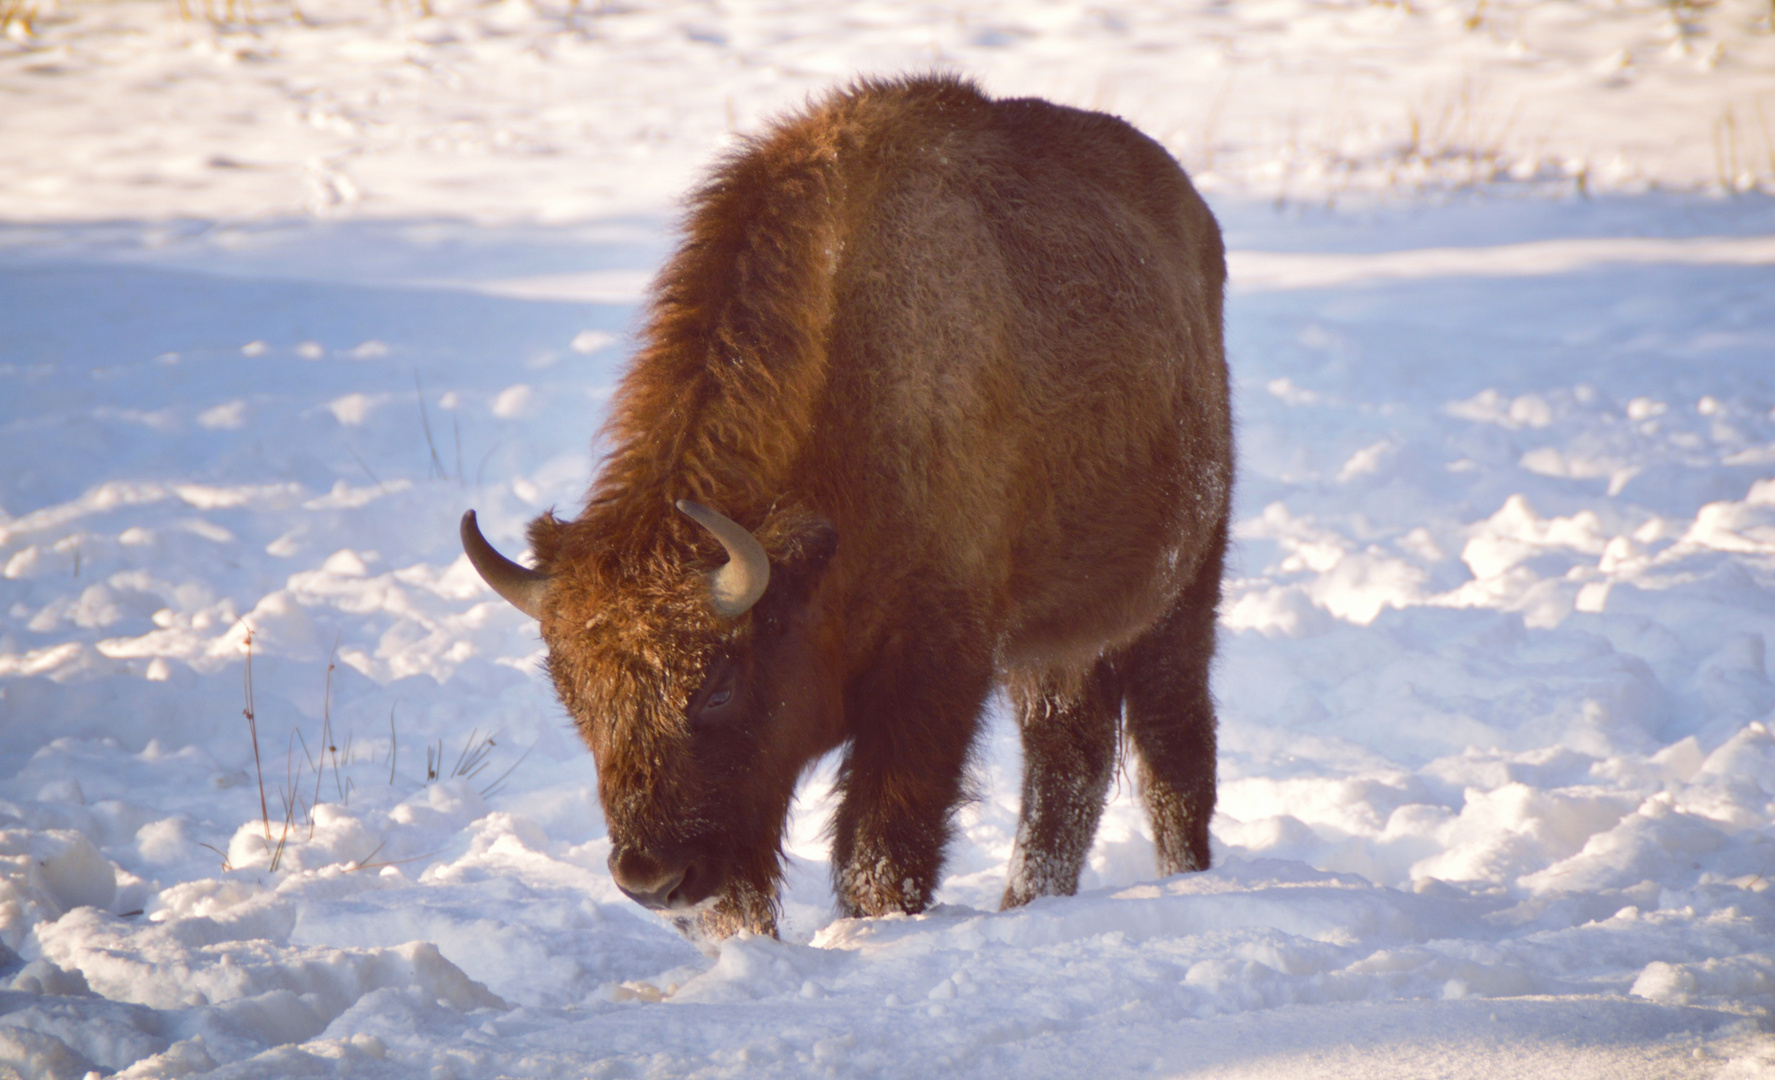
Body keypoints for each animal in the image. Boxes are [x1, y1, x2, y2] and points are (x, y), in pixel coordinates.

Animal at [465, 73, 1228, 937]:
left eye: (716, 683)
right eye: (571, 693)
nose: (649, 877)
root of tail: (1192, 213)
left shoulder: (930, 677)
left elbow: (879, 852)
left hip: (1180, 589)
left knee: (1171, 751)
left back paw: (1183, 882)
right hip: (1057, 644)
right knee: (1070, 760)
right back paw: (1028, 903)